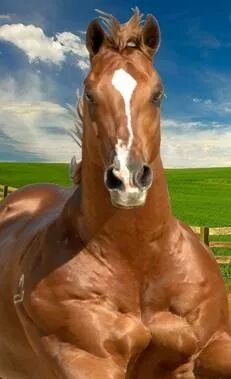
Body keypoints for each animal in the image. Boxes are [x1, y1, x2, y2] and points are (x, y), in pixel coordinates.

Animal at [0, 9, 231, 379]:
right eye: (90, 94)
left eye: (158, 93)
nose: (128, 179)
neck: (140, 262)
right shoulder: (85, 360)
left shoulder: (208, 346)